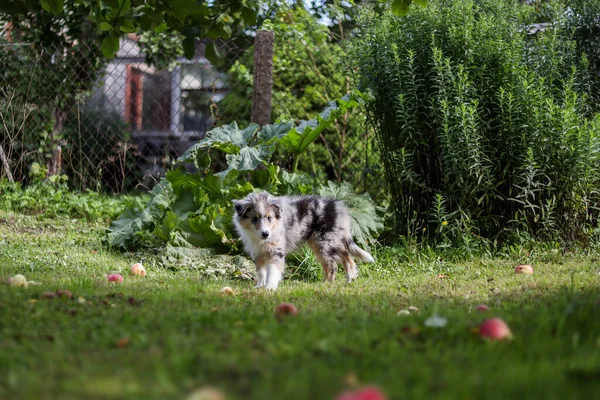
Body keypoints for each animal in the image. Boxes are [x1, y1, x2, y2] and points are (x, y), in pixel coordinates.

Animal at [232, 191, 372, 290]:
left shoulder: (276, 251)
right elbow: (261, 272)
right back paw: (350, 279)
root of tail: (340, 208)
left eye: (269, 218)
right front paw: (259, 286)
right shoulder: (258, 253)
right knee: (346, 255)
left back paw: (325, 284)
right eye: (254, 219)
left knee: (332, 265)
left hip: (324, 242)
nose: (265, 234)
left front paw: (270, 287)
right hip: (329, 241)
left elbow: (272, 271)